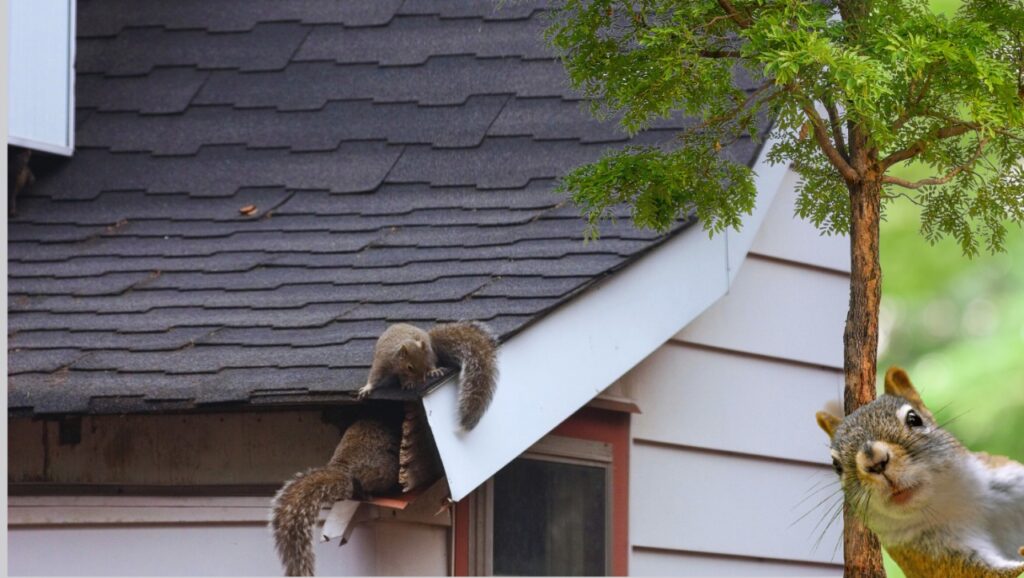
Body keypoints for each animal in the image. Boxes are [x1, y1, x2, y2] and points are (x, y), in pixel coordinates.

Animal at [357, 321, 498, 431]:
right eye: (410, 367)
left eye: (424, 364)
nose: (422, 380)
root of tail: (429, 338)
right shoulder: (383, 361)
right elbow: (375, 375)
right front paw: (367, 387)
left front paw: (427, 373)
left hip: (429, 351)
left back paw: (432, 371)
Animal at [816, 367, 1024, 578]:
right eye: (836, 465)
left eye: (914, 418)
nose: (874, 461)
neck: (950, 504)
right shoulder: (934, 556)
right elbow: (981, 572)